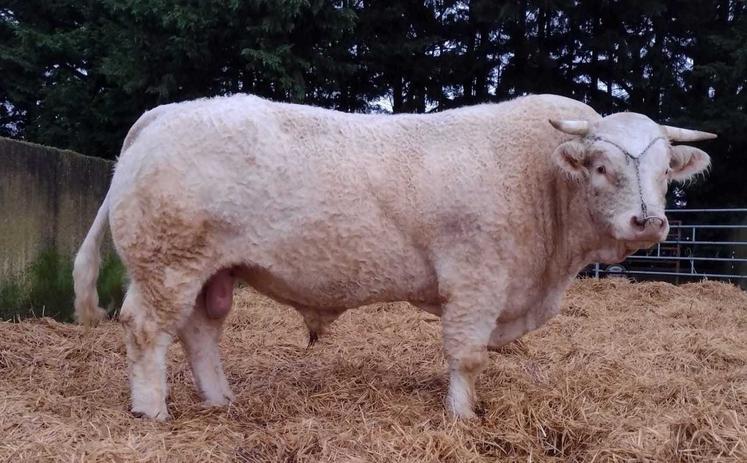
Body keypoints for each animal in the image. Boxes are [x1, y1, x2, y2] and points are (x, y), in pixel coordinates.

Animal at [74, 92, 712, 418]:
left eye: (664, 172)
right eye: (602, 168)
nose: (649, 221)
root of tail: (165, 113)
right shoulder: (476, 277)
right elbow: (468, 355)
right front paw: (462, 418)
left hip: (213, 270)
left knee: (200, 330)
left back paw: (221, 400)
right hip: (167, 262)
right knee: (146, 329)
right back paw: (152, 412)